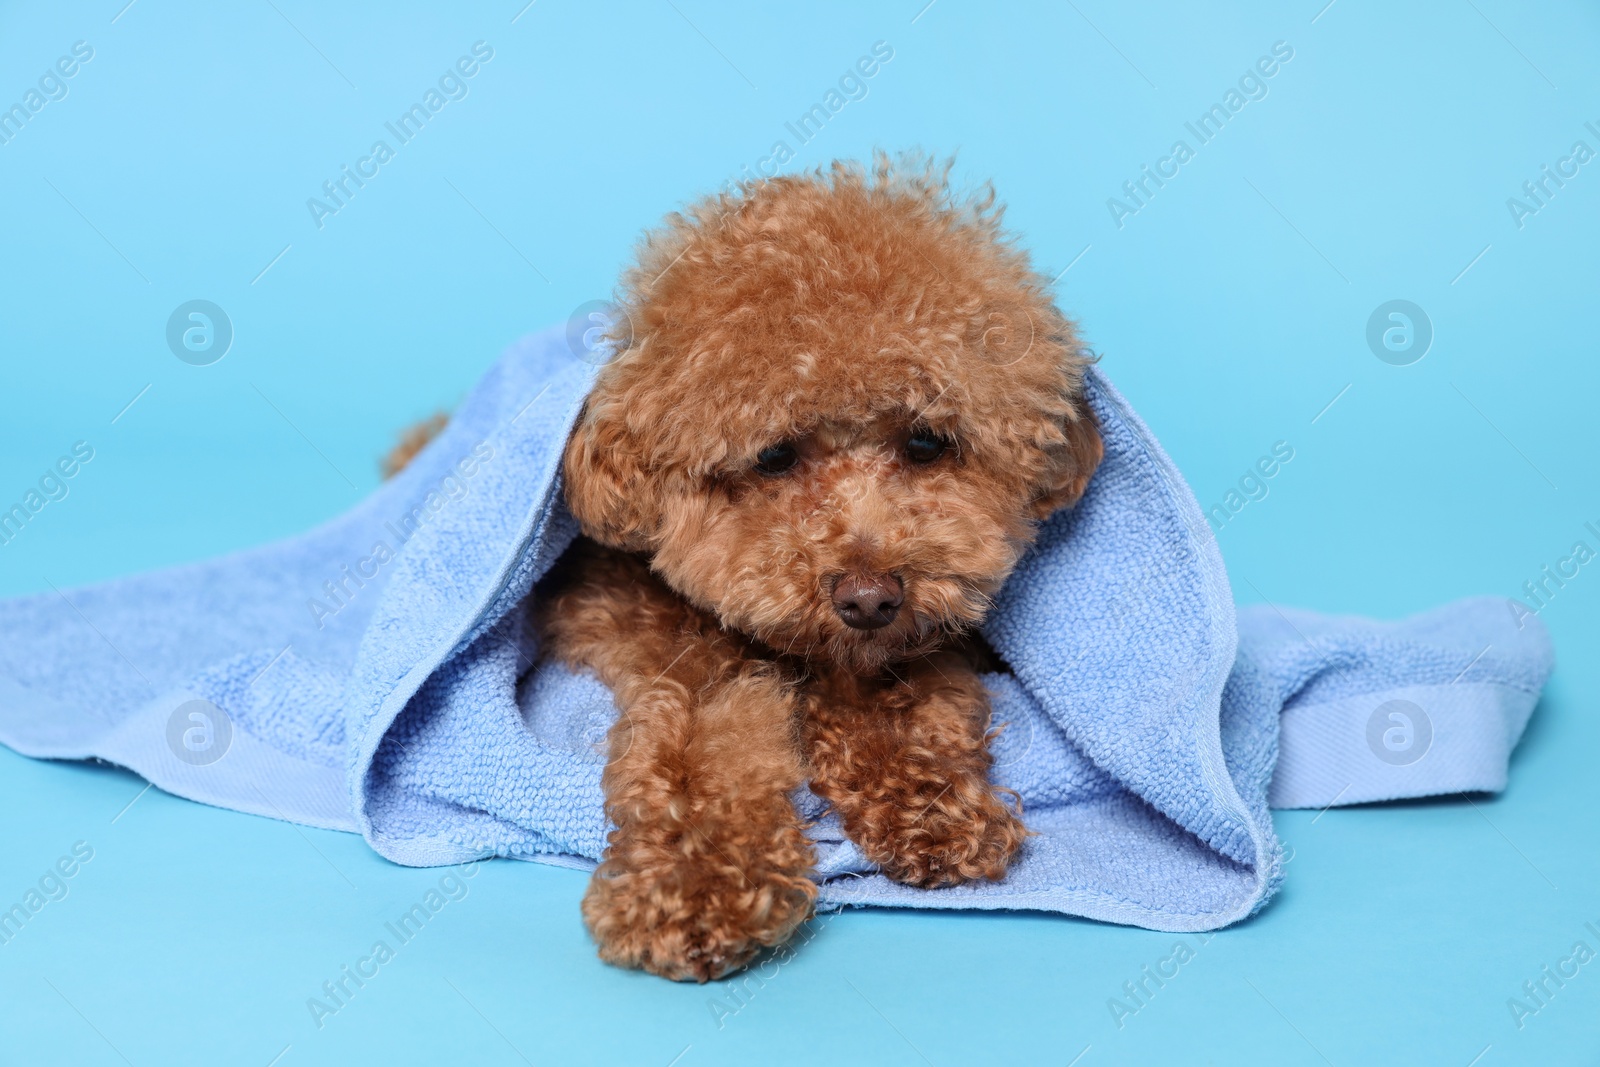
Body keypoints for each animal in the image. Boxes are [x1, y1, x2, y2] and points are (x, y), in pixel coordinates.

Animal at [387, 156, 1100, 985]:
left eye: (926, 443)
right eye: (775, 455)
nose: (868, 597)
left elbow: (913, 696)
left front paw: (931, 803)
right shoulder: (674, 653)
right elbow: (701, 751)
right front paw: (692, 883)